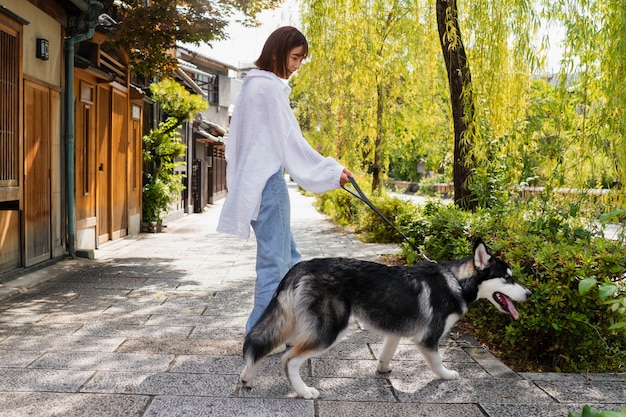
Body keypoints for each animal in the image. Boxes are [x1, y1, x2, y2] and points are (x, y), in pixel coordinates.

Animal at [238, 237, 528, 396]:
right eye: (507, 278)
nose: (529, 293)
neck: (455, 281)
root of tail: (302, 265)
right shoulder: (428, 340)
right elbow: (436, 363)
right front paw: (446, 375)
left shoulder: (395, 332)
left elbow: (386, 354)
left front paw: (383, 370)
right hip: (329, 331)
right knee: (288, 359)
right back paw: (304, 391)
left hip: (293, 324)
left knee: (260, 345)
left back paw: (247, 378)